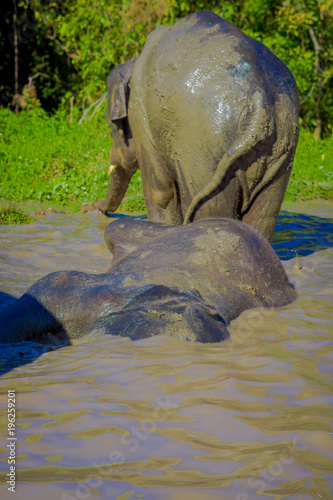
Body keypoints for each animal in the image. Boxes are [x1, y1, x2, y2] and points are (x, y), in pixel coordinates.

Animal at [98, 9, 298, 240]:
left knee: (209, 211)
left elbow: (160, 192)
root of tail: (260, 100)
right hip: (281, 150)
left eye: (111, 126)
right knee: (265, 215)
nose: (98, 210)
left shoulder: (141, 118)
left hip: (204, 151)